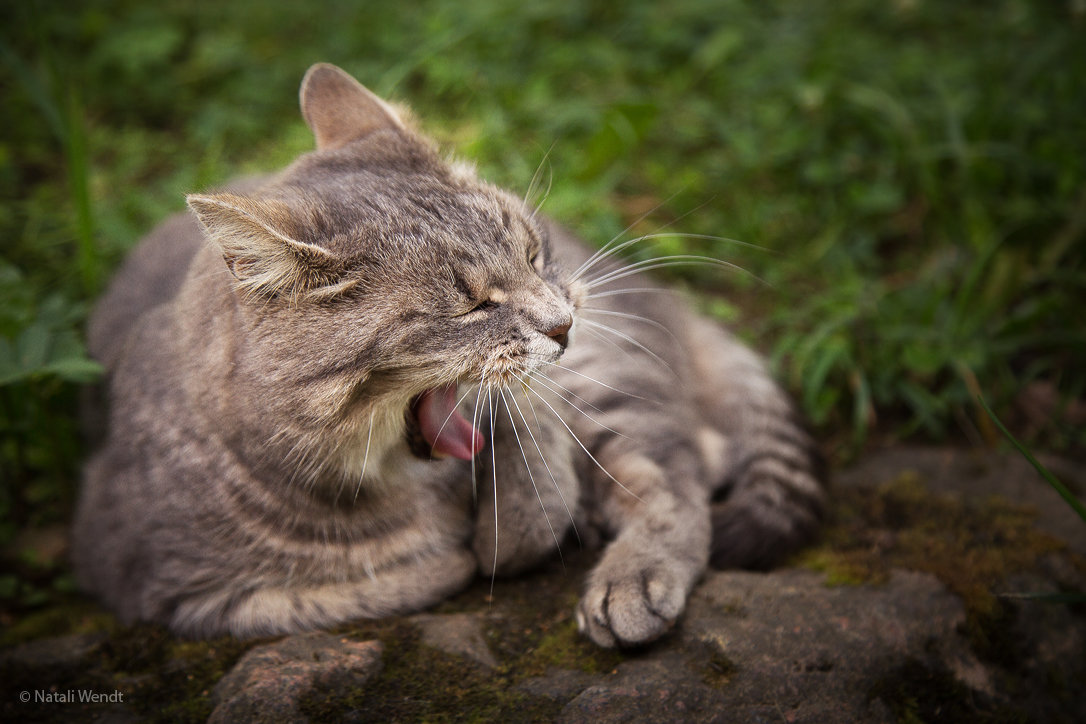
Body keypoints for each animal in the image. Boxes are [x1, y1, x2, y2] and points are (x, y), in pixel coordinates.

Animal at [74, 62, 821, 646]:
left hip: (613, 381)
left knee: (679, 470)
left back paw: (633, 574)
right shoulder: (171, 590)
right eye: (471, 308)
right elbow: (368, 584)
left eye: (531, 252)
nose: (564, 326)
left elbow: (528, 499)